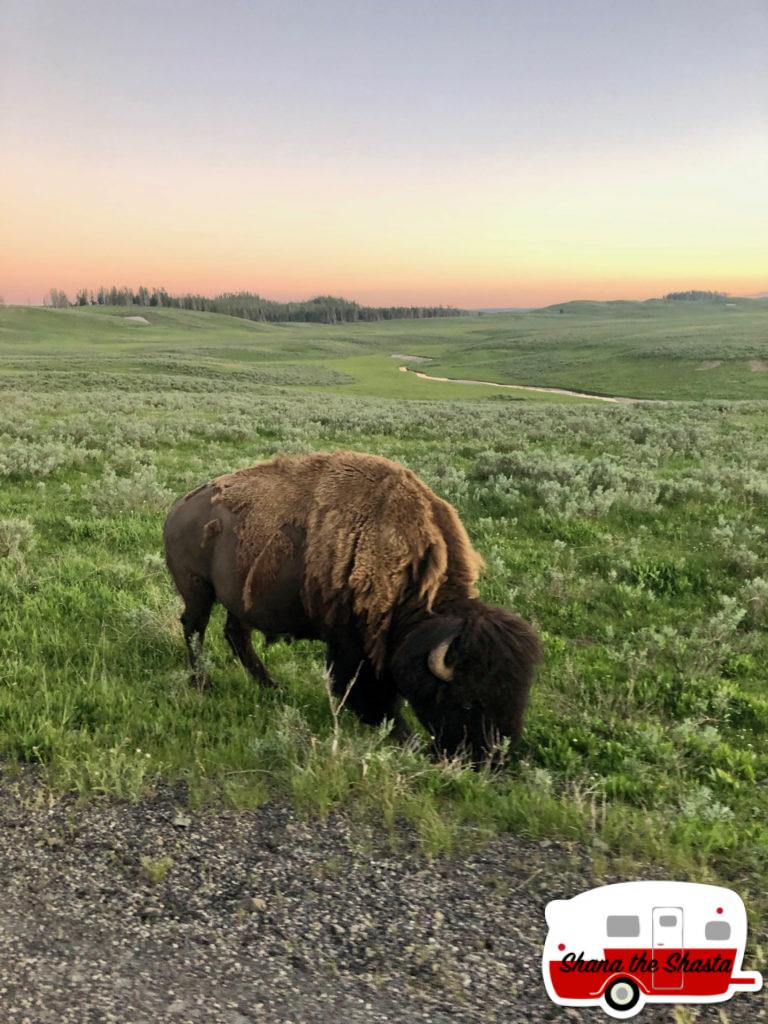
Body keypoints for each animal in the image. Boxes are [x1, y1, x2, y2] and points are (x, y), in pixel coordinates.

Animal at [162, 452, 540, 765]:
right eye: (465, 701)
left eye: (518, 697)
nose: (489, 760)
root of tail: (180, 508)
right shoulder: (351, 642)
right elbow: (363, 689)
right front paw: (403, 735)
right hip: (198, 590)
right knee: (194, 628)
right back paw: (203, 684)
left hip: (239, 599)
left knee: (235, 635)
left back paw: (271, 686)